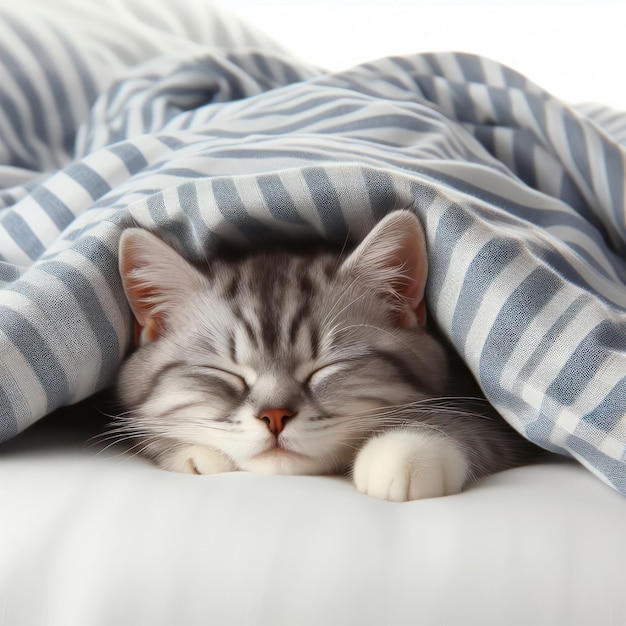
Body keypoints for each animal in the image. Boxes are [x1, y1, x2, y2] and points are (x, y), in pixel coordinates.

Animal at [112, 210, 536, 502]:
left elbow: (466, 422)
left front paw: (407, 449)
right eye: (227, 373)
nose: (275, 416)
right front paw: (193, 450)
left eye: (324, 369)